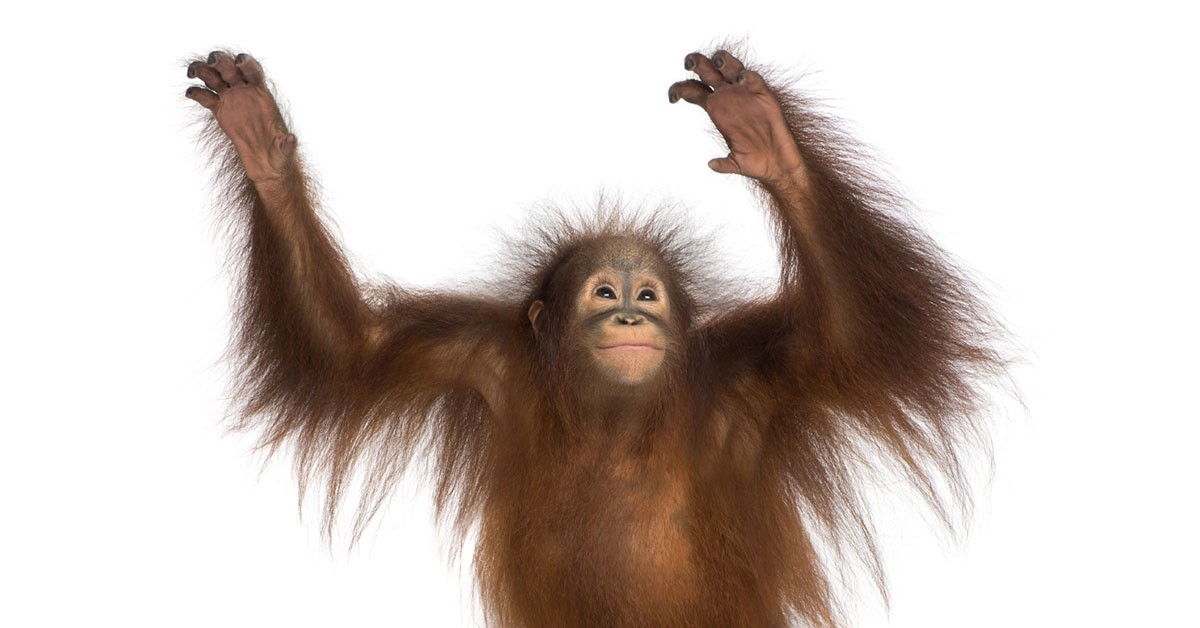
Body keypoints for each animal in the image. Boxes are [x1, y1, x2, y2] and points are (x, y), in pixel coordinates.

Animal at [187, 47, 1005, 627]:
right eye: (604, 294)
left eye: (647, 295)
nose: (630, 318)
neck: (618, 417)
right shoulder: (482, 358)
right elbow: (350, 350)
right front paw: (261, 143)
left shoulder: (751, 378)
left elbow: (858, 339)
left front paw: (765, 137)